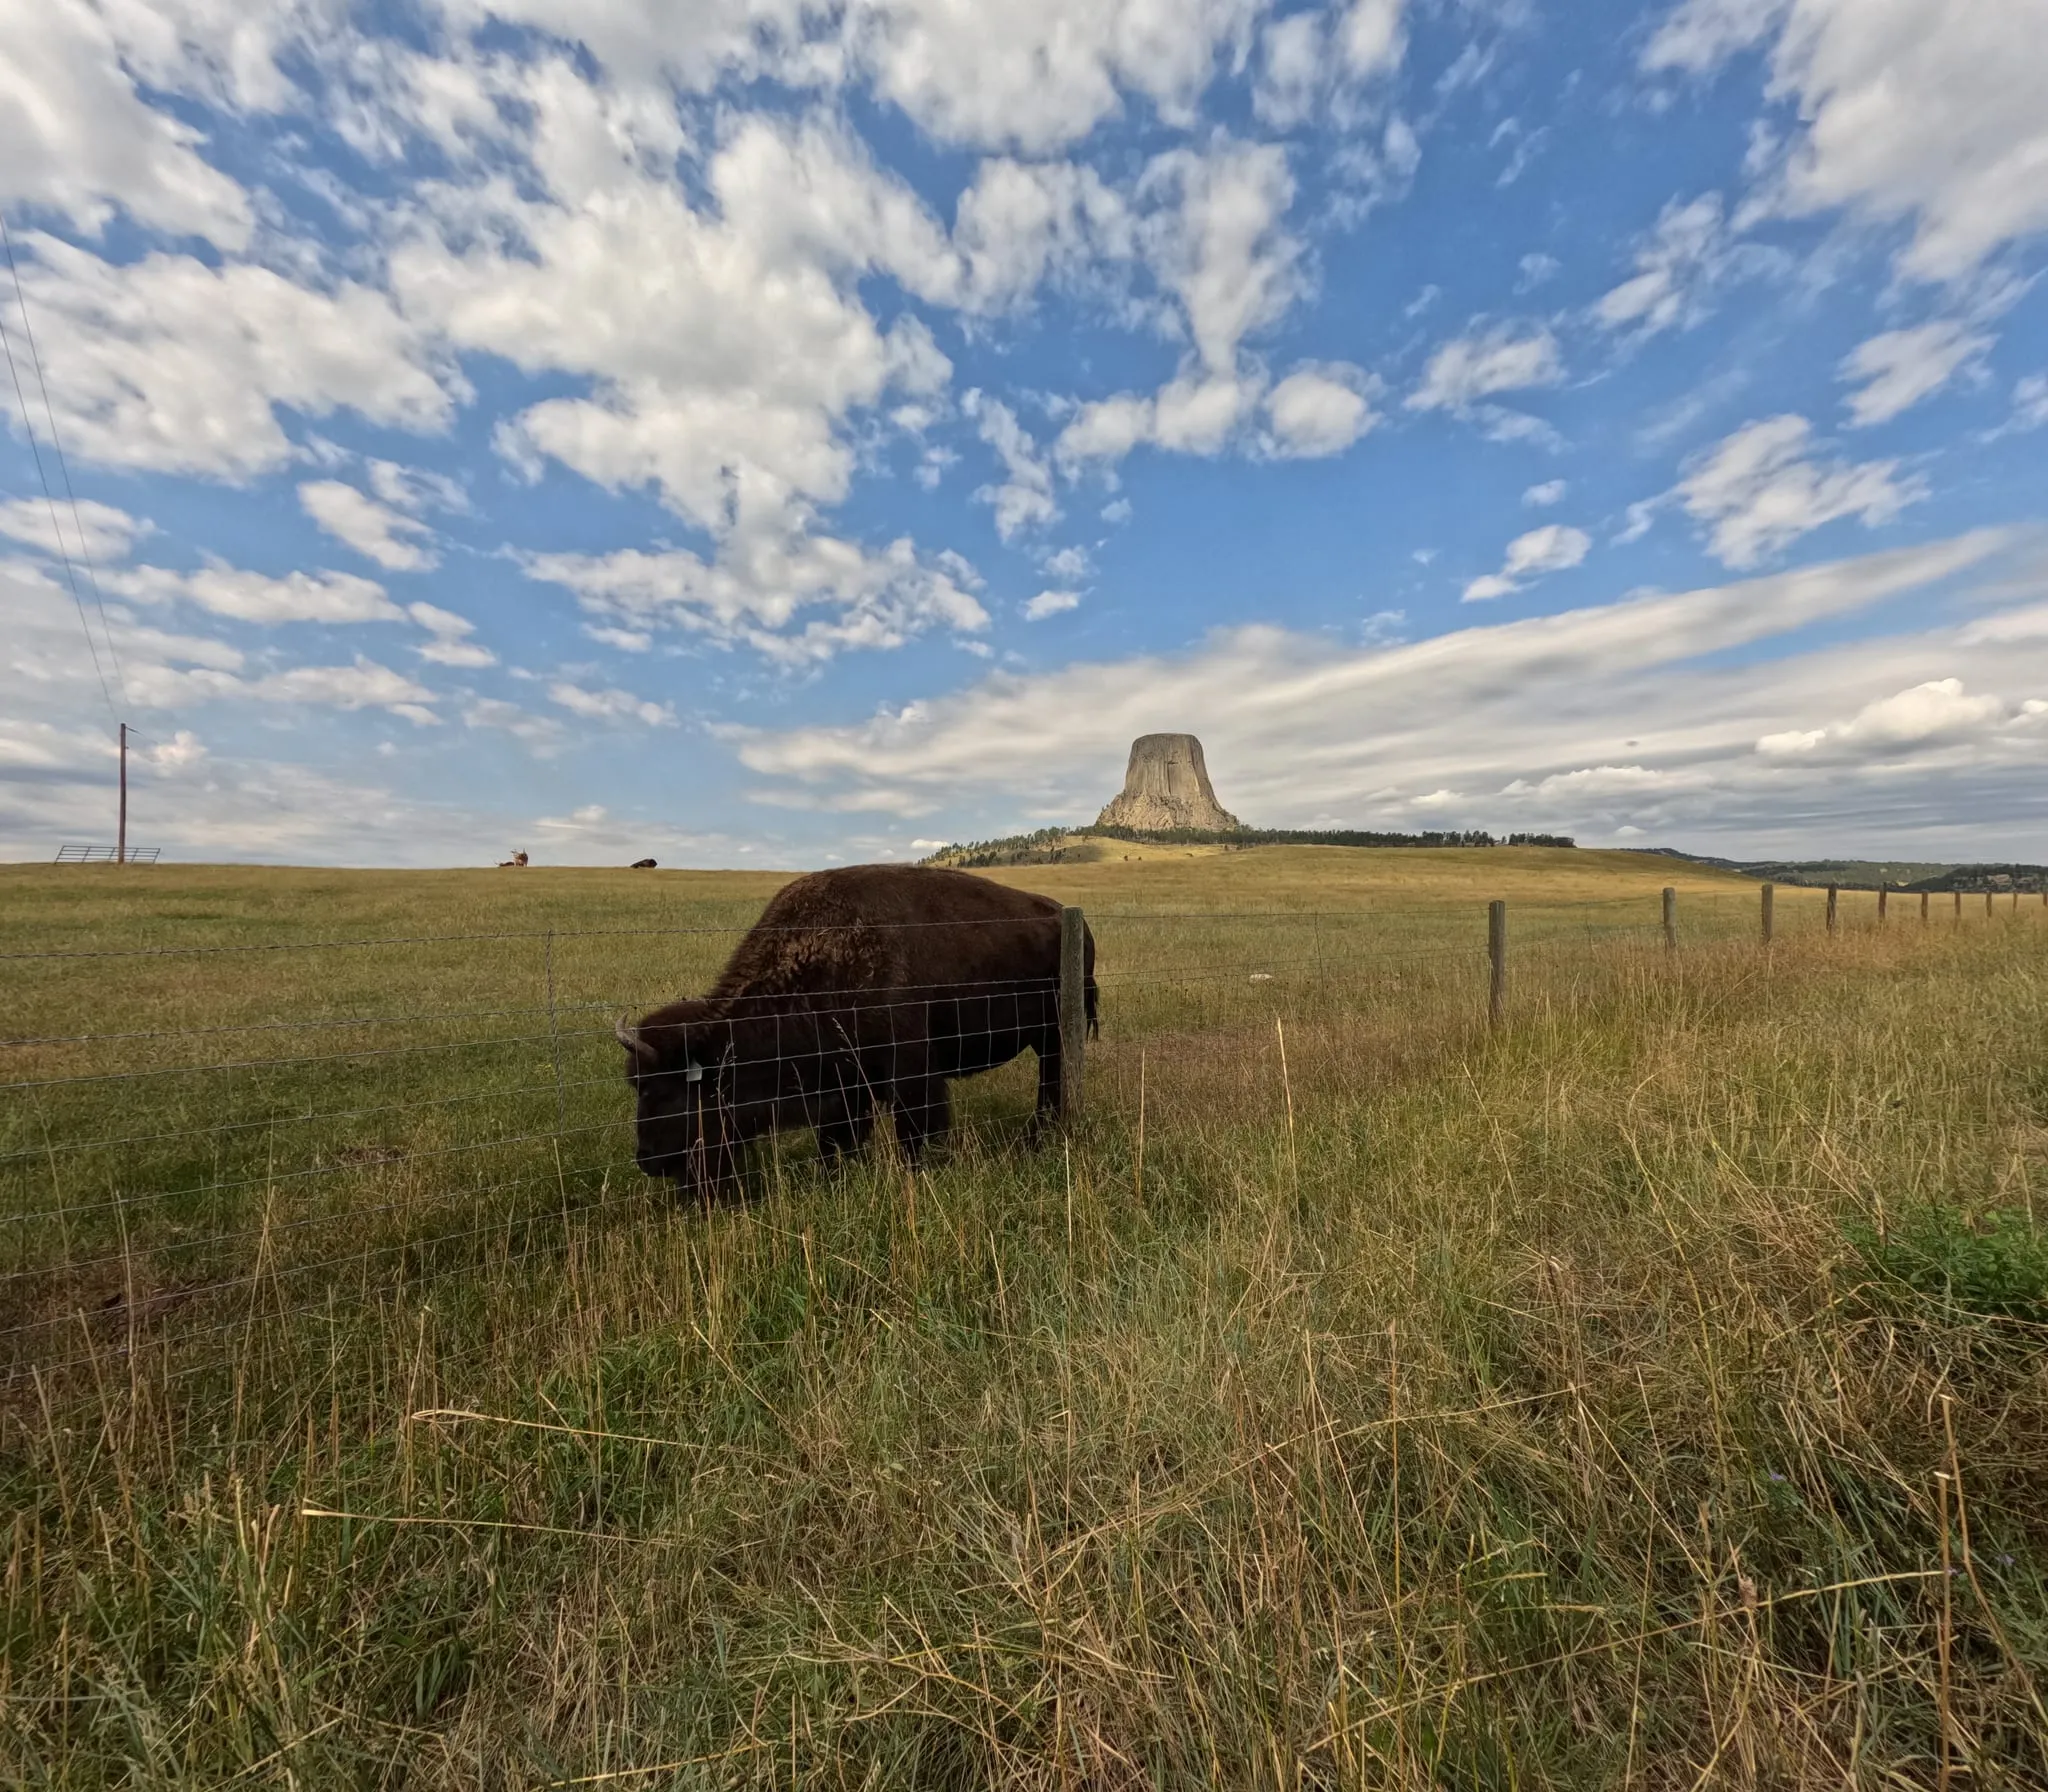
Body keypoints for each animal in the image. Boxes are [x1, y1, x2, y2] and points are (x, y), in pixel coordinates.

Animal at [617, 864, 1097, 1196]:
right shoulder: (846, 1086)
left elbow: (917, 1132)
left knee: (1053, 1082)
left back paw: (1039, 1137)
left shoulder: (911, 1075)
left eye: (664, 1091)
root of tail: (1069, 918)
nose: (646, 1160)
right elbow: (838, 1139)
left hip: (1054, 1034)